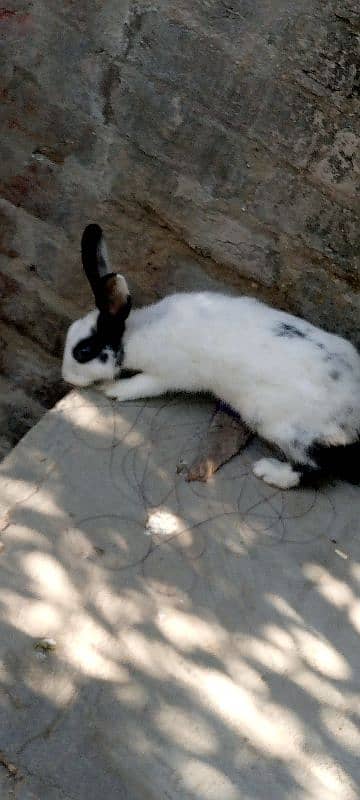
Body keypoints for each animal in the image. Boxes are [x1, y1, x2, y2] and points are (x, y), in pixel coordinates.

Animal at [62, 222, 360, 490]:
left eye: (83, 352)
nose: (66, 377)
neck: (132, 337)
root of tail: (354, 411)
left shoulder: (166, 376)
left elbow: (140, 386)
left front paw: (112, 389)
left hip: (285, 428)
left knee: (316, 466)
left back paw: (269, 472)